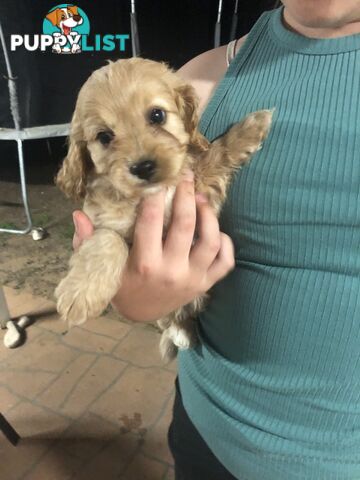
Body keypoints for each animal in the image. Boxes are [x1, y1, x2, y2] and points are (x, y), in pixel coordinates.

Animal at [54, 57, 272, 360]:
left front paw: (252, 127)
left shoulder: (200, 184)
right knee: (169, 316)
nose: (143, 167)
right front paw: (79, 294)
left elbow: (216, 153)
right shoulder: (100, 223)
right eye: (104, 136)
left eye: (157, 115)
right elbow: (108, 240)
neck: (154, 194)